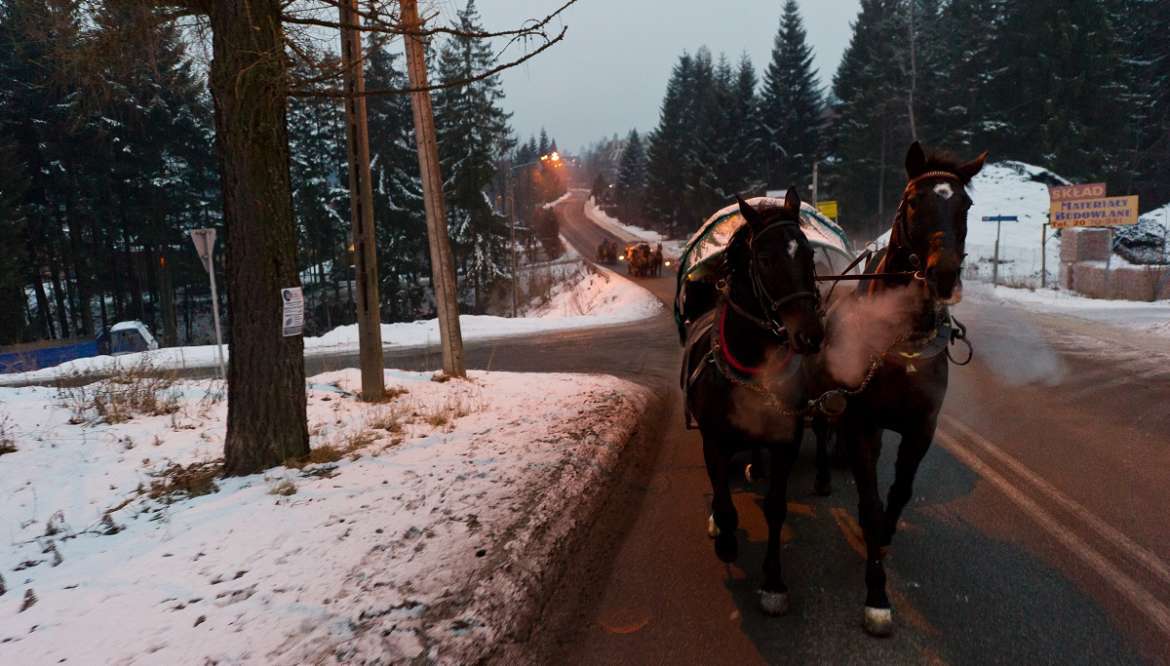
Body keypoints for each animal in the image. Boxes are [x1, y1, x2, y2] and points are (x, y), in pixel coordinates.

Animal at [683, 187, 828, 613]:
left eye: (808, 254)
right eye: (765, 259)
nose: (811, 335)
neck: (750, 366)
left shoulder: (784, 441)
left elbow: (777, 508)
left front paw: (773, 582)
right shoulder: (713, 441)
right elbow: (724, 501)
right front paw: (726, 538)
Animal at [833, 141, 987, 632]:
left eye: (966, 205)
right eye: (915, 201)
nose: (945, 275)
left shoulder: (922, 426)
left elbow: (898, 493)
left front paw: (882, 538)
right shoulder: (860, 422)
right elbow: (869, 499)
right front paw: (877, 593)